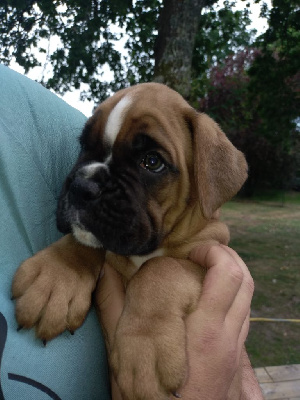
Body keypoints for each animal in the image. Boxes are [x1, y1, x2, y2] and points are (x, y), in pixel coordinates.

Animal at [11, 83, 247, 398]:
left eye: (152, 161)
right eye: (84, 146)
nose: (82, 186)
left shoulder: (208, 253)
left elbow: (160, 269)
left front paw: (144, 347)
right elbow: (83, 242)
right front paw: (56, 275)